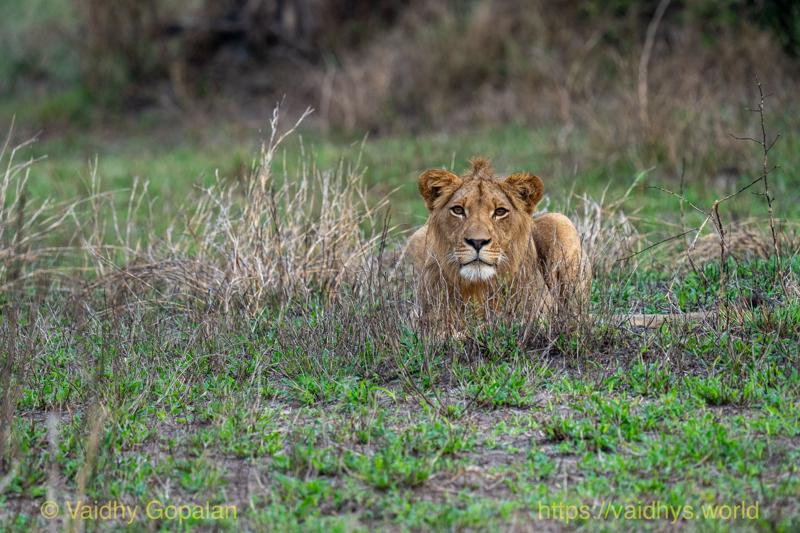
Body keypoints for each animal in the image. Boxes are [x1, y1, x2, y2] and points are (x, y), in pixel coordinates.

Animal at [406, 158, 590, 332]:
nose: (477, 242)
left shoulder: (536, 317)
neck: (478, 288)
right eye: (458, 210)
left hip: (560, 221)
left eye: (500, 211)